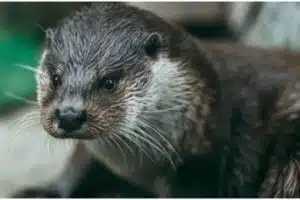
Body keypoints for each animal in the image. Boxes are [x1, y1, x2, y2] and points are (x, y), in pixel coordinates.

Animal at [14, 2, 300, 198]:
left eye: (110, 82)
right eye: (56, 78)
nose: (69, 115)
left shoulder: (197, 169)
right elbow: (77, 163)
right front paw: (45, 190)